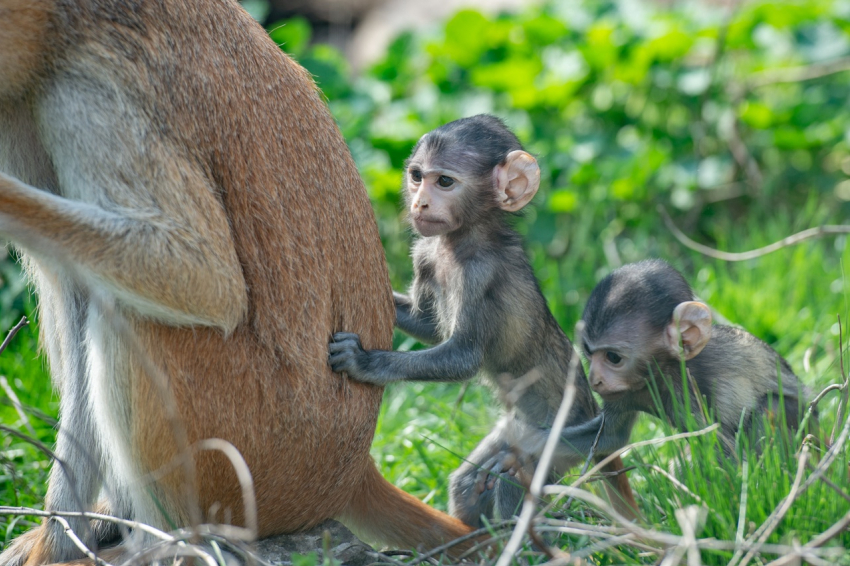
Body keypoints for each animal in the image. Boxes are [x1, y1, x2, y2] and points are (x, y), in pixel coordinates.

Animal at [0, 2, 470, 564]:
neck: (55, 25)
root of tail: (351, 472)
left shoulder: (90, 98)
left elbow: (210, 281)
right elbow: (72, 290)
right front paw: (55, 542)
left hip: (252, 457)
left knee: (128, 314)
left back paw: (165, 545)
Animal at [328, 115, 632, 532]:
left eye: (444, 181)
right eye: (417, 175)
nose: (420, 202)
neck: (461, 240)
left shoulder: (480, 275)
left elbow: (464, 357)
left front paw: (364, 362)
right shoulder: (425, 252)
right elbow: (428, 325)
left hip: (564, 438)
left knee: (512, 480)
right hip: (515, 430)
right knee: (470, 481)